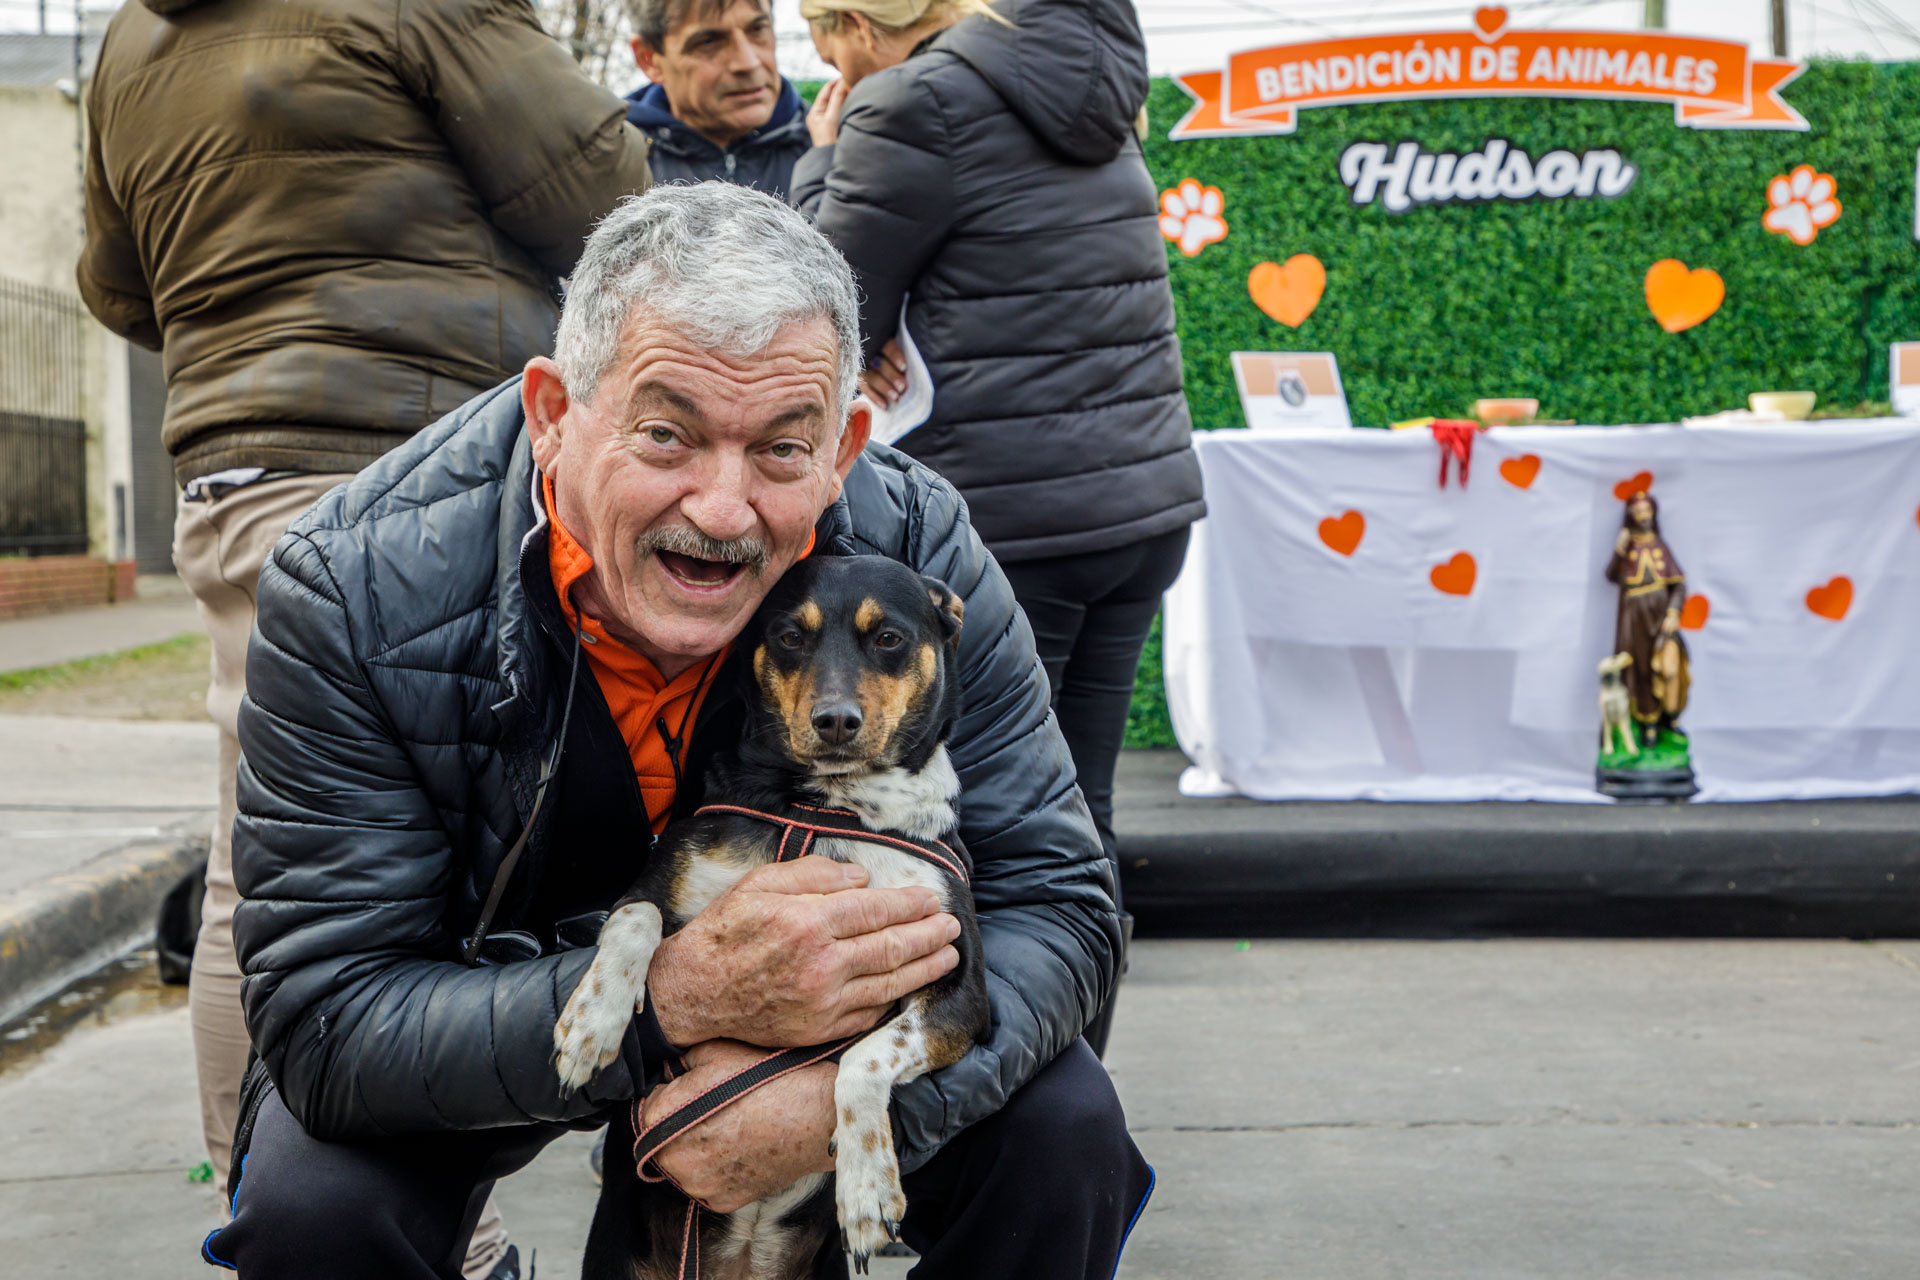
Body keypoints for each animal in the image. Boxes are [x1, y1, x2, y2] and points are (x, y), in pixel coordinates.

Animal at [549, 556, 983, 1274]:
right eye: (789, 637)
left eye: (889, 639)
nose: (835, 720)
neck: (822, 809)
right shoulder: (656, 884)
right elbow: (633, 924)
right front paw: (590, 1026)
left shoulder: (963, 990)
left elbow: (862, 1059)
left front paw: (866, 1190)